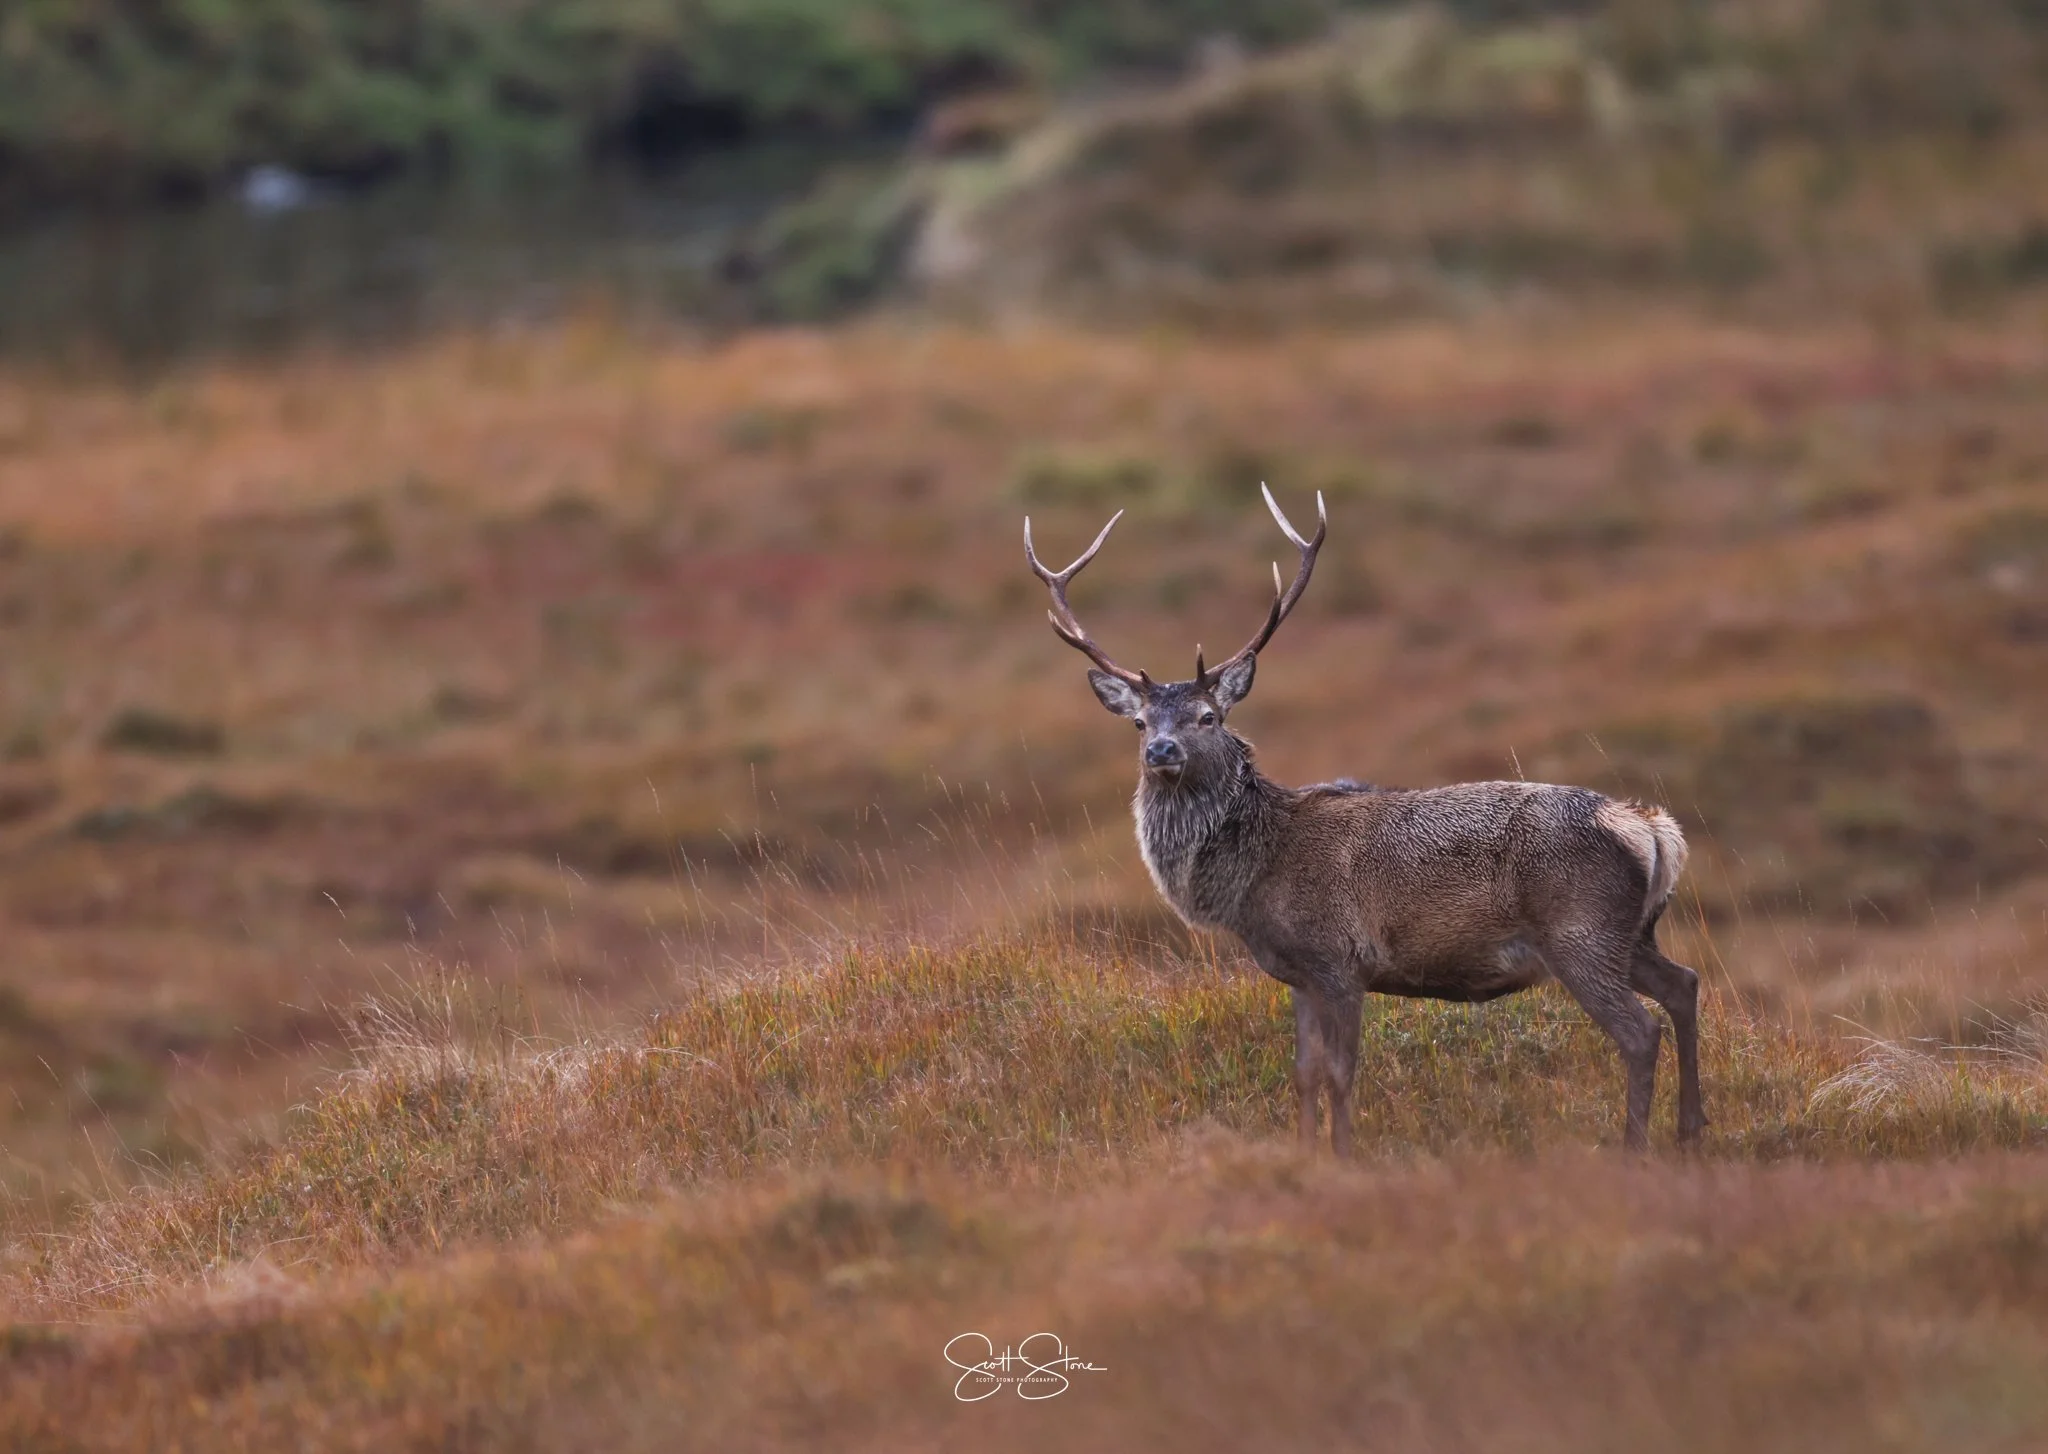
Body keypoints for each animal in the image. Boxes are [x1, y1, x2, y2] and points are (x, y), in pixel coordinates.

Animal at [1024, 487, 1705, 1155]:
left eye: (1208, 716)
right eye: (1140, 722)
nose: (1161, 751)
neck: (1253, 878)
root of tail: (1651, 830)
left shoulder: (1342, 962)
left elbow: (1340, 1075)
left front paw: (1343, 1159)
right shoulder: (1297, 974)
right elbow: (1303, 1073)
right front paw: (1304, 1155)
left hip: (1579, 931)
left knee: (1639, 1032)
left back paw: (1635, 1149)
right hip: (1631, 934)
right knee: (1684, 984)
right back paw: (1691, 1131)